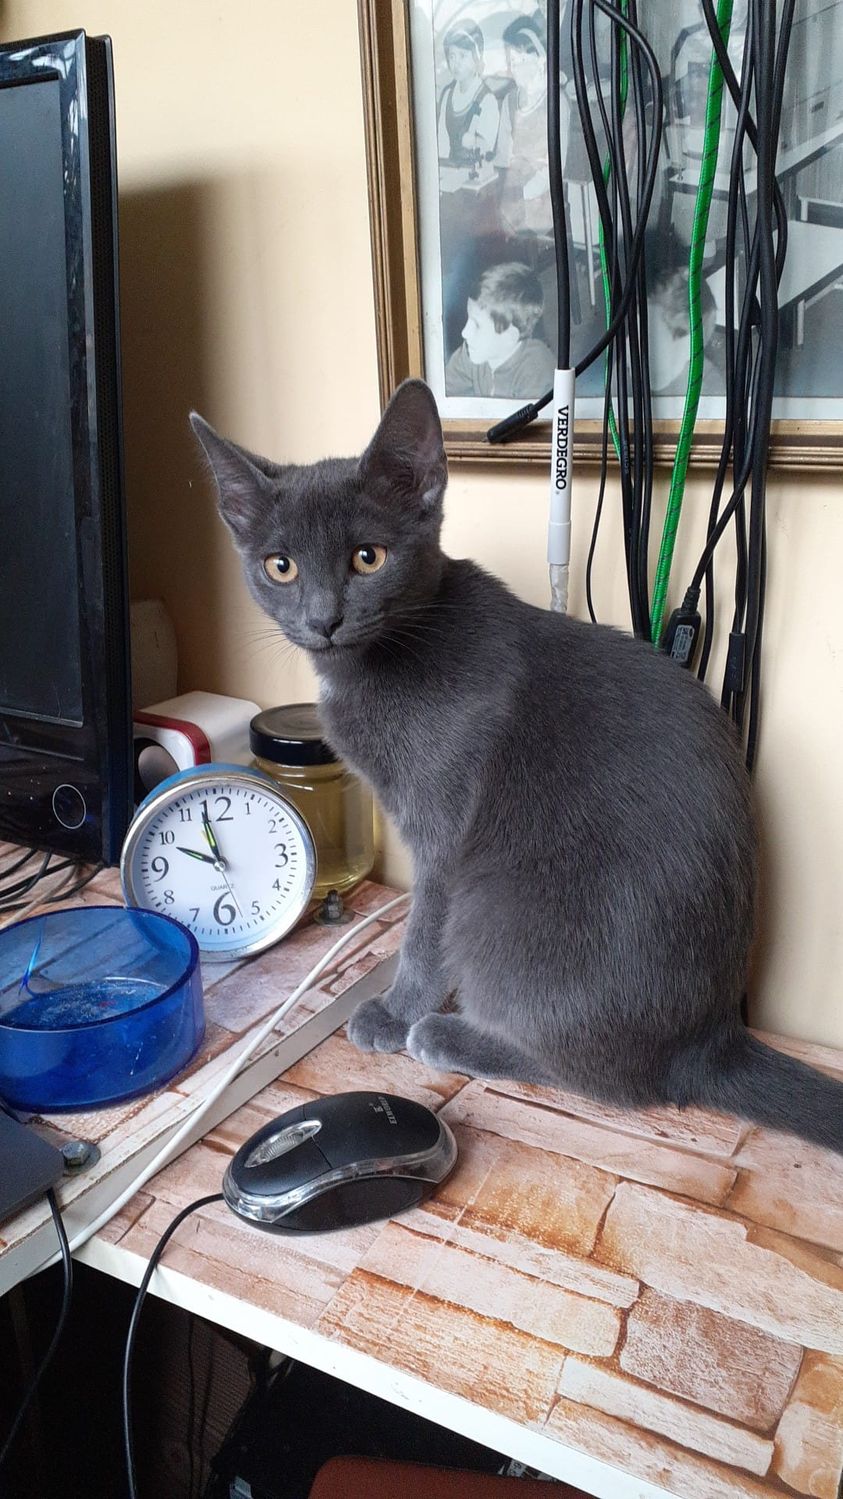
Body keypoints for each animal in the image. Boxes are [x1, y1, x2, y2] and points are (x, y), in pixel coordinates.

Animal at [192, 379, 843, 1153]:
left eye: (368, 557)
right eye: (280, 566)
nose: (322, 619)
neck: (373, 663)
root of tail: (709, 1040)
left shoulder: (442, 830)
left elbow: (423, 930)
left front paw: (395, 1009)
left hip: (497, 913)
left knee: (611, 1082)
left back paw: (449, 1034)